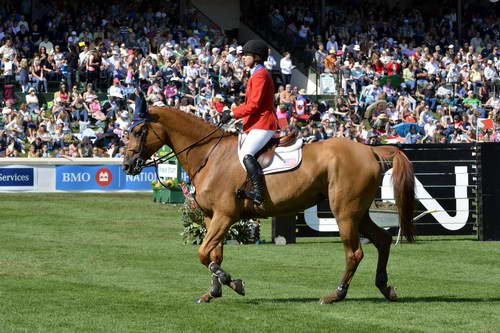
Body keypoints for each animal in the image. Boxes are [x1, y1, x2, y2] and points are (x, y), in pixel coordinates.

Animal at [122, 106, 414, 304]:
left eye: (139, 131)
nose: (127, 165)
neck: (209, 154)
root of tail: (370, 150)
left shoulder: (225, 215)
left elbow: (204, 254)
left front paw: (233, 283)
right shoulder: (210, 216)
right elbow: (215, 254)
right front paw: (213, 292)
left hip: (344, 213)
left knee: (355, 253)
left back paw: (336, 295)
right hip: (358, 212)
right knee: (382, 241)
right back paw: (385, 287)